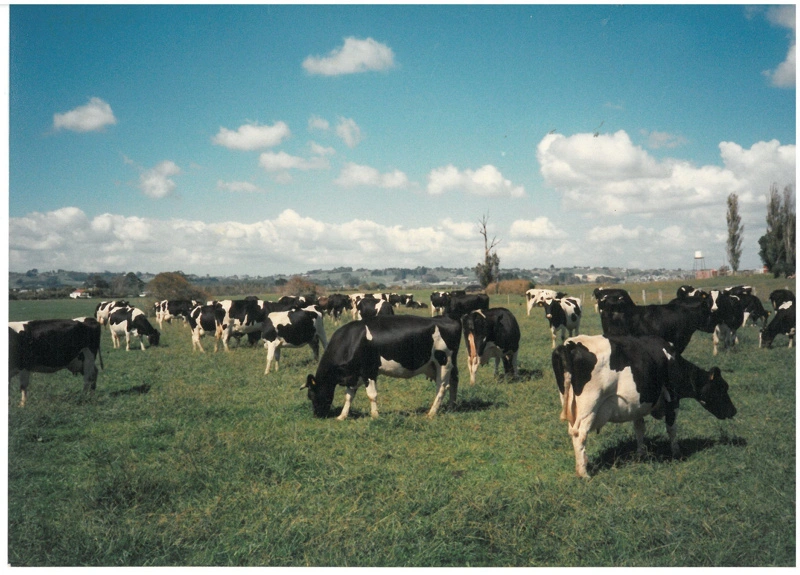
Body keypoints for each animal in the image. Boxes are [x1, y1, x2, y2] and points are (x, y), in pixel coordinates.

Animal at [302, 318, 462, 420]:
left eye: (311, 395)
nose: (317, 415)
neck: (351, 341)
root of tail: (449, 319)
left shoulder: (369, 371)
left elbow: (371, 395)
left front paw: (375, 416)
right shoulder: (354, 374)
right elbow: (349, 396)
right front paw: (342, 416)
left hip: (444, 361)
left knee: (442, 387)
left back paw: (432, 413)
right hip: (439, 365)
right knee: (454, 381)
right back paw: (451, 407)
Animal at [552, 332, 736, 476]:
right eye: (722, 387)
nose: (734, 411)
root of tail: (569, 345)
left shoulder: (636, 405)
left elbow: (639, 428)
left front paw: (641, 454)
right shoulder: (673, 399)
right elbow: (671, 429)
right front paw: (676, 453)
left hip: (571, 406)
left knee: (572, 433)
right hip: (589, 408)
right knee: (580, 435)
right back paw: (583, 473)